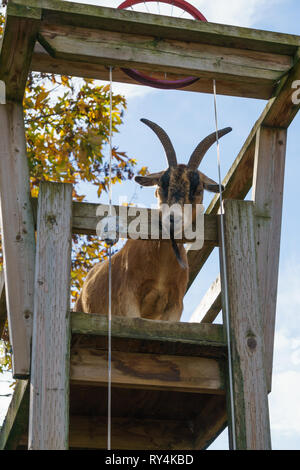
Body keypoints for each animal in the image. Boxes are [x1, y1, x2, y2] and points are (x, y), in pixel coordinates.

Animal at [75, 119, 232, 322]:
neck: (161, 270)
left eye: (198, 189)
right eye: (161, 186)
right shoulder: (127, 298)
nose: (173, 219)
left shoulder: (175, 306)